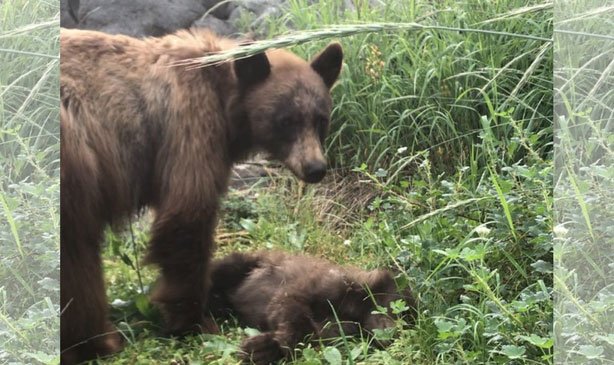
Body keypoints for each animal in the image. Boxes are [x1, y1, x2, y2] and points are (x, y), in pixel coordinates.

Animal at [60, 27, 344, 362]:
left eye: (321, 119)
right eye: (286, 120)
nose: (315, 168)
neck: (224, 95)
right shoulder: (190, 126)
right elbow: (187, 218)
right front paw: (194, 321)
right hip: (76, 161)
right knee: (77, 255)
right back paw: (97, 341)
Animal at [208, 250, 418, 364]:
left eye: (408, 322)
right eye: (399, 310)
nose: (392, 335)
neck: (355, 308)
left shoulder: (338, 330)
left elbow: (311, 338)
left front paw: (262, 349)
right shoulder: (317, 285)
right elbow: (291, 307)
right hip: (241, 265)